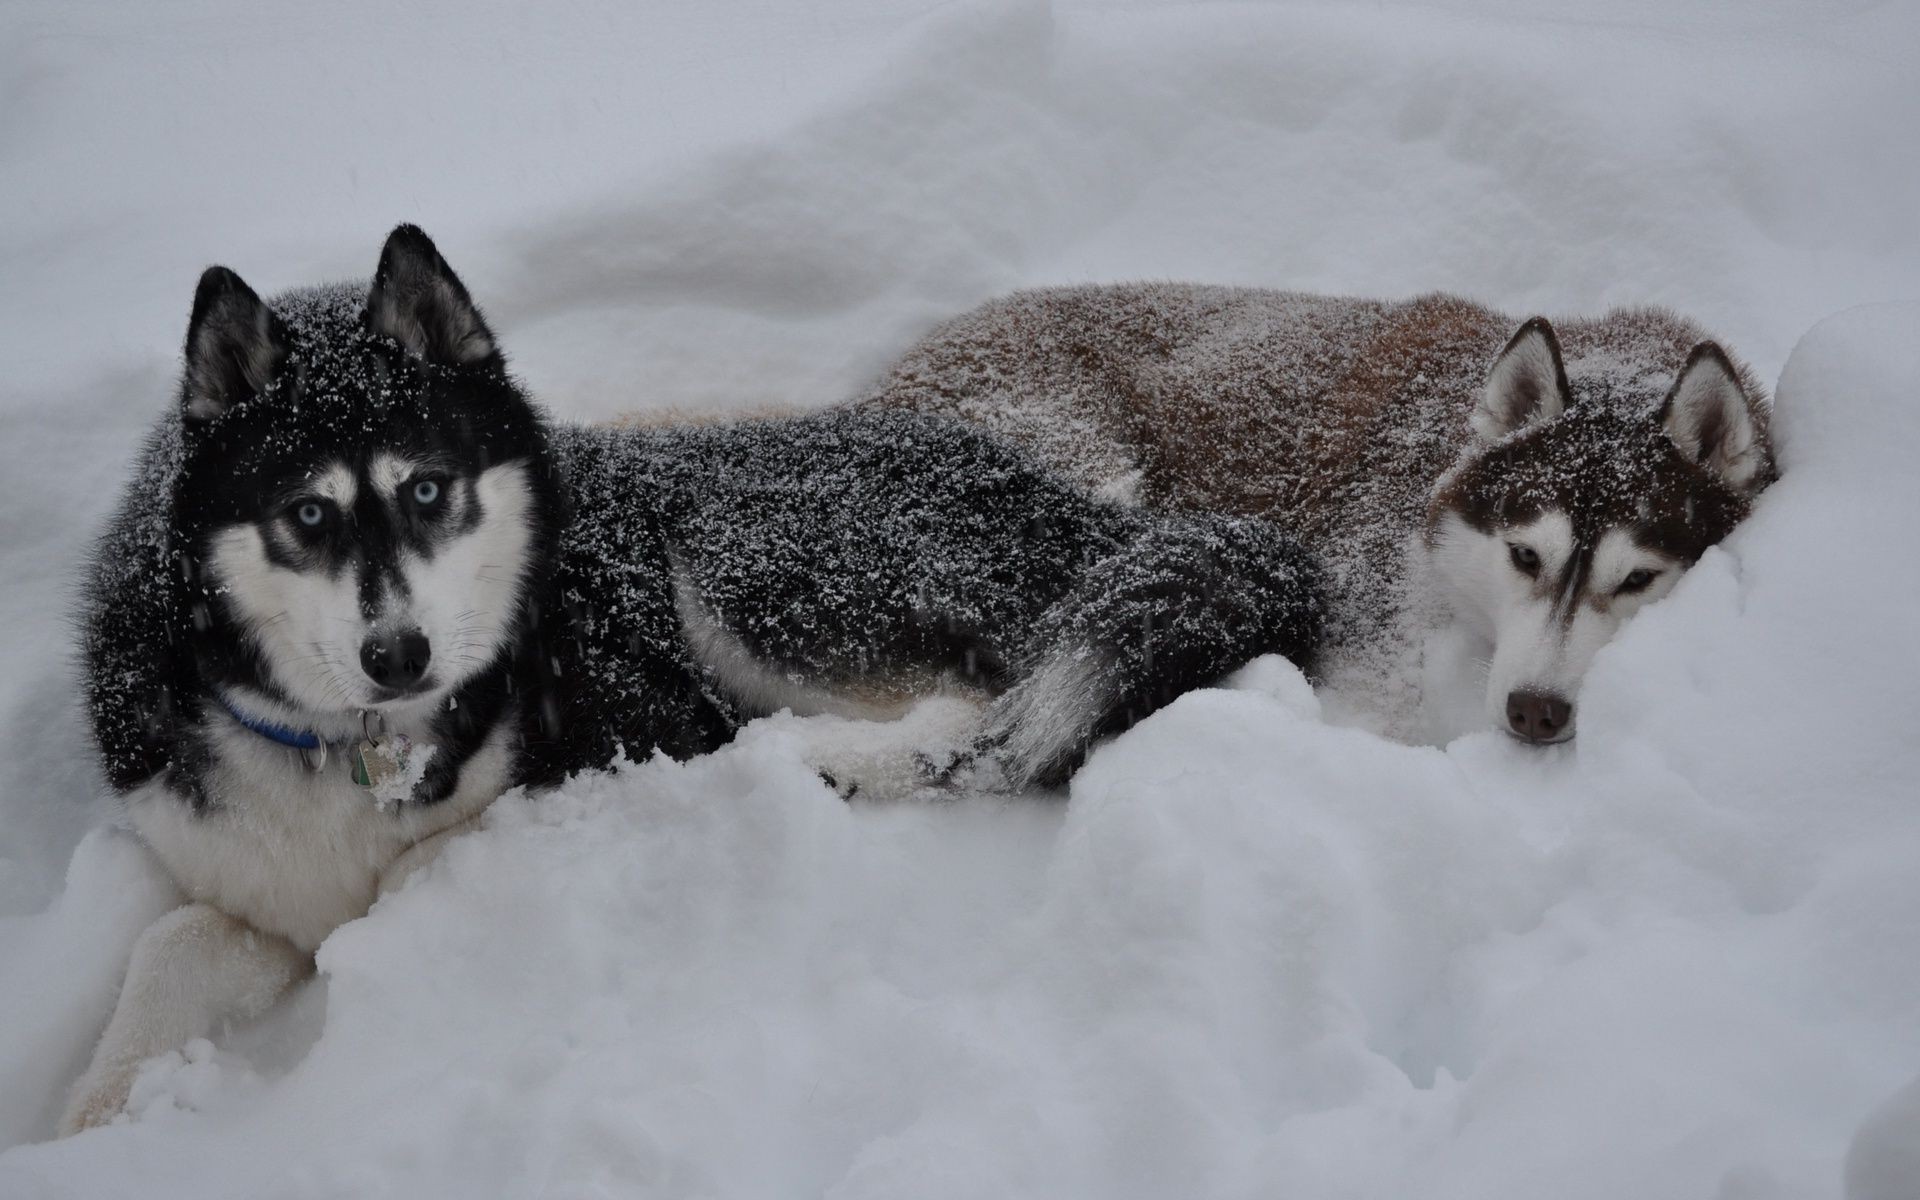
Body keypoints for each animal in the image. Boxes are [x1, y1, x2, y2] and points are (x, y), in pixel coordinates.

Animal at [63, 226, 1320, 1128]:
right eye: (307, 515)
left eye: (429, 489)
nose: (398, 656)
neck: (355, 746)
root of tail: (1078, 506)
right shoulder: (228, 858)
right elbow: (179, 942)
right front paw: (99, 1108)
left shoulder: (602, 741)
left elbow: (422, 869)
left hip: (747, 562)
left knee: (983, 720)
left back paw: (827, 761)